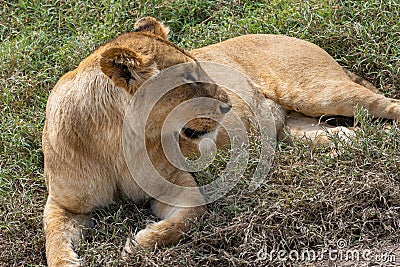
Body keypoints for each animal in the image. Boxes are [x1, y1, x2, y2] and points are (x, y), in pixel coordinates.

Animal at [41, 16, 400, 266]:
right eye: (188, 80)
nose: (229, 104)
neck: (115, 141)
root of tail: (291, 36)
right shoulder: (63, 203)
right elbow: (53, 239)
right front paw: (67, 260)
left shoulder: (182, 190)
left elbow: (184, 221)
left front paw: (139, 242)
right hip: (302, 130)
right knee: (354, 134)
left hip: (320, 92)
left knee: (387, 104)